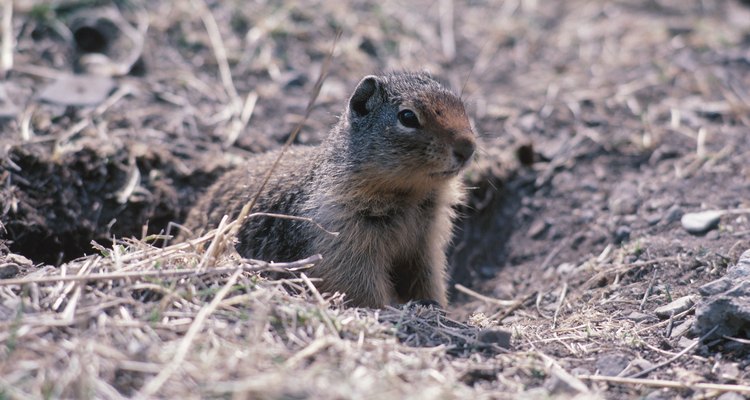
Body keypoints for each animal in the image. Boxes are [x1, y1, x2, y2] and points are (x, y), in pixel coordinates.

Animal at [182, 72, 476, 308]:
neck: (411, 196)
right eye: (407, 117)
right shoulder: (339, 232)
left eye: (462, 106)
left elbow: (427, 278)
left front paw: (435, 306)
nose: (468, 147)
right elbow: (355, 282)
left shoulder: (426, 243)